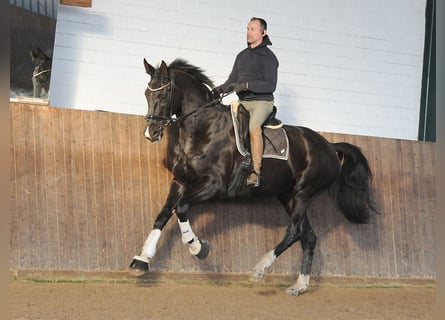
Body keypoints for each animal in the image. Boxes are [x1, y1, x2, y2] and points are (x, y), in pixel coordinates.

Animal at [130, 59, 376, 296]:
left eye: (163, 95)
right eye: (146, 93)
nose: (150, 133)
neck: (203, 127)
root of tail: (330, 146)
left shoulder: (214, 185)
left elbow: (181, 208)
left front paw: (198, 247)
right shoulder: (181, 182)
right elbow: (163, 215)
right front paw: (142, 260)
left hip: (305, 193)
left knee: (294, 231)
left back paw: (260, 268)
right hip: (288, 196)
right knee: (308, 236)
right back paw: (299, 286)